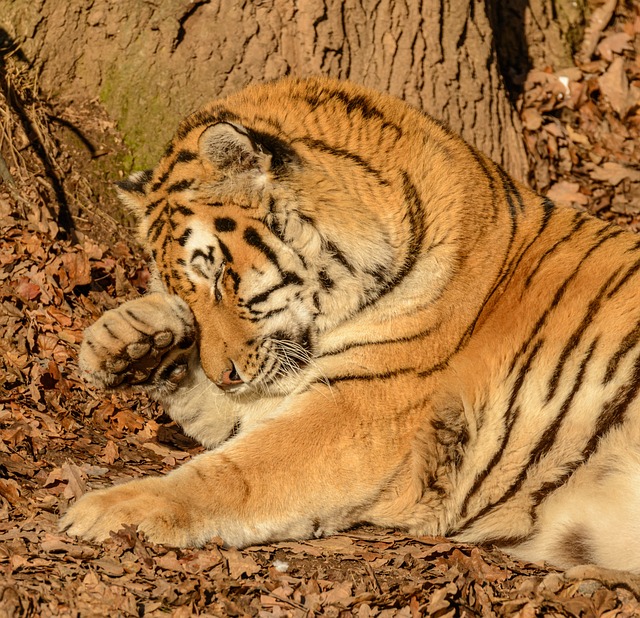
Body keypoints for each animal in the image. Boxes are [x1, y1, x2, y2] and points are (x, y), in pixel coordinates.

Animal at [61, 77, 640, 572]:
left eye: (221, 275)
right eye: (180, 287)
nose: (227, 375)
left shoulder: (360, 408)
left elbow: (236, 472)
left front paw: (110, 510)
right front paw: (129, 338)